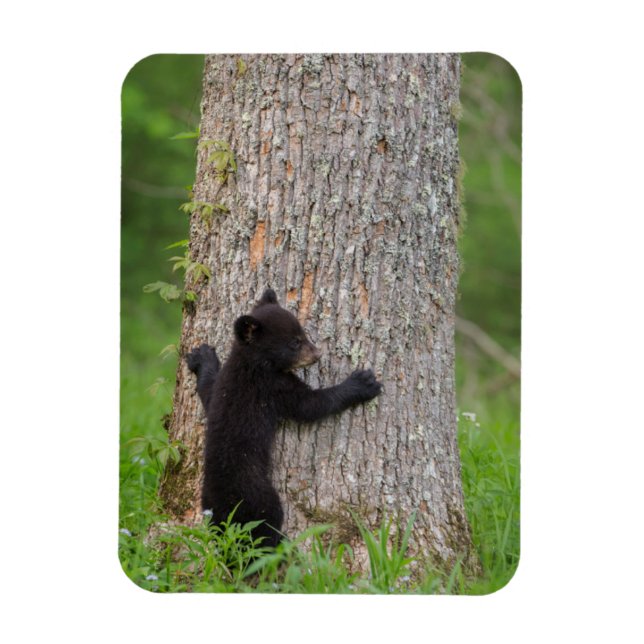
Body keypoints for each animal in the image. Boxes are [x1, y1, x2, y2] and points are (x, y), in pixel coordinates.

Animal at [185, 288, 382, 548]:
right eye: (294, 342)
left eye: (303, 333)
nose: (318, 354)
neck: (252, 362)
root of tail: (223, 510)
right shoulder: (273, 387)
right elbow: (311, 405)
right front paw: (362, 383)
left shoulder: (223, 387)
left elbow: (208, 391)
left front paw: (201, 356)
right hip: (259, 497)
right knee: (263, 530)